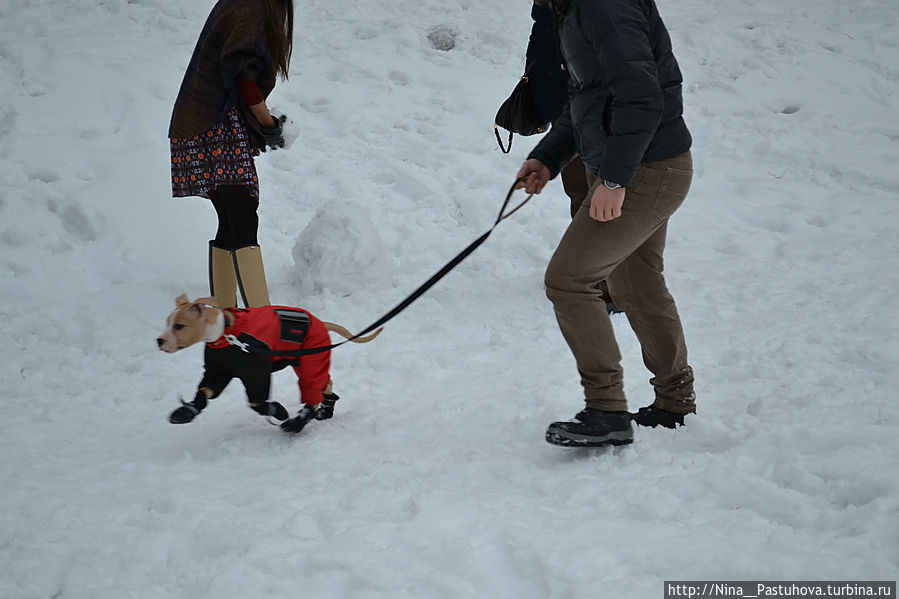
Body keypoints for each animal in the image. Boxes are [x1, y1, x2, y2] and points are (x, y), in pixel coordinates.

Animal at [157, 294, 380, 432]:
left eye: (179, 326)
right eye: (167, 323)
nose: (159, 340)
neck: (226, 333)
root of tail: (321, 323)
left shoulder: (257, 374)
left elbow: (257, 402)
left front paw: (279, 411)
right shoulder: (217, 371)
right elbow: (204, 392)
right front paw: (186, 411)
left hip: (311, 361)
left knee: (313, 387)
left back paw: (296, 423)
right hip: (303, 360)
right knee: (326, 383)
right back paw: (326, 409)